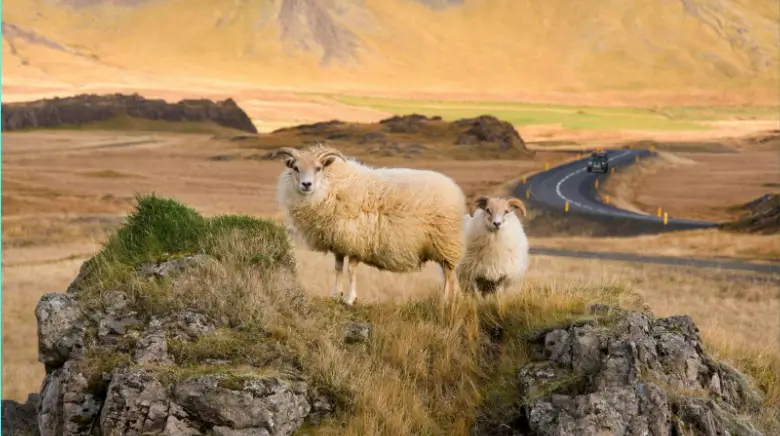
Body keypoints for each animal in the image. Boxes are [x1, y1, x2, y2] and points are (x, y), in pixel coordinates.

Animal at [271, 143, 467, 305]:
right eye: (296, 168)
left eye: (318, 168)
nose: (306, 184)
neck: (331, 187)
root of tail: (454, 188)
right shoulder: (339, 241)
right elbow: (337, 268)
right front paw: (335, 294)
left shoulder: (356, 240)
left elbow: (351, 270)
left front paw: (349, 298)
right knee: (449, 274)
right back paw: (454, 299)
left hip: (446, 242)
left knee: (449, 274)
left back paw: (445, 301)